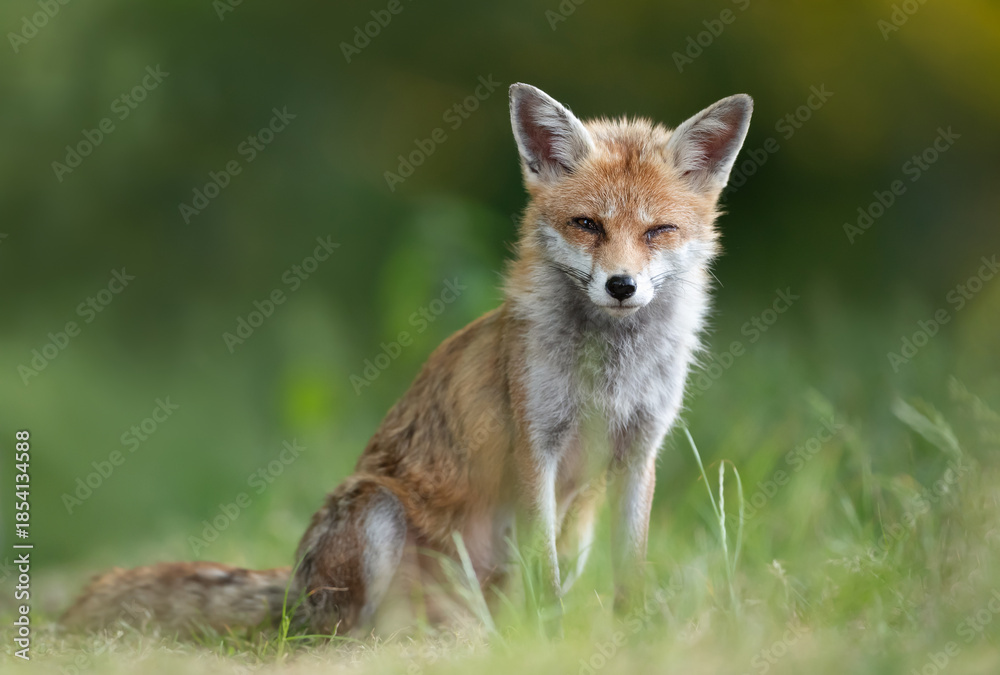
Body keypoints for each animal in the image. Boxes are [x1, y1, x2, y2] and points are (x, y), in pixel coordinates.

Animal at [62, 83, 752, 636]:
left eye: (658, 232)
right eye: (587, 224)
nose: (621, 286)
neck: (608, 373)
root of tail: (293, 593)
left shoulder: (639, 453)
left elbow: (630, 567)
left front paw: (633, 636)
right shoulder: (536, 448)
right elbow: (546, 576)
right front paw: (555, 640)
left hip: (564, 531)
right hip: (376, 514)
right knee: (338, 634)